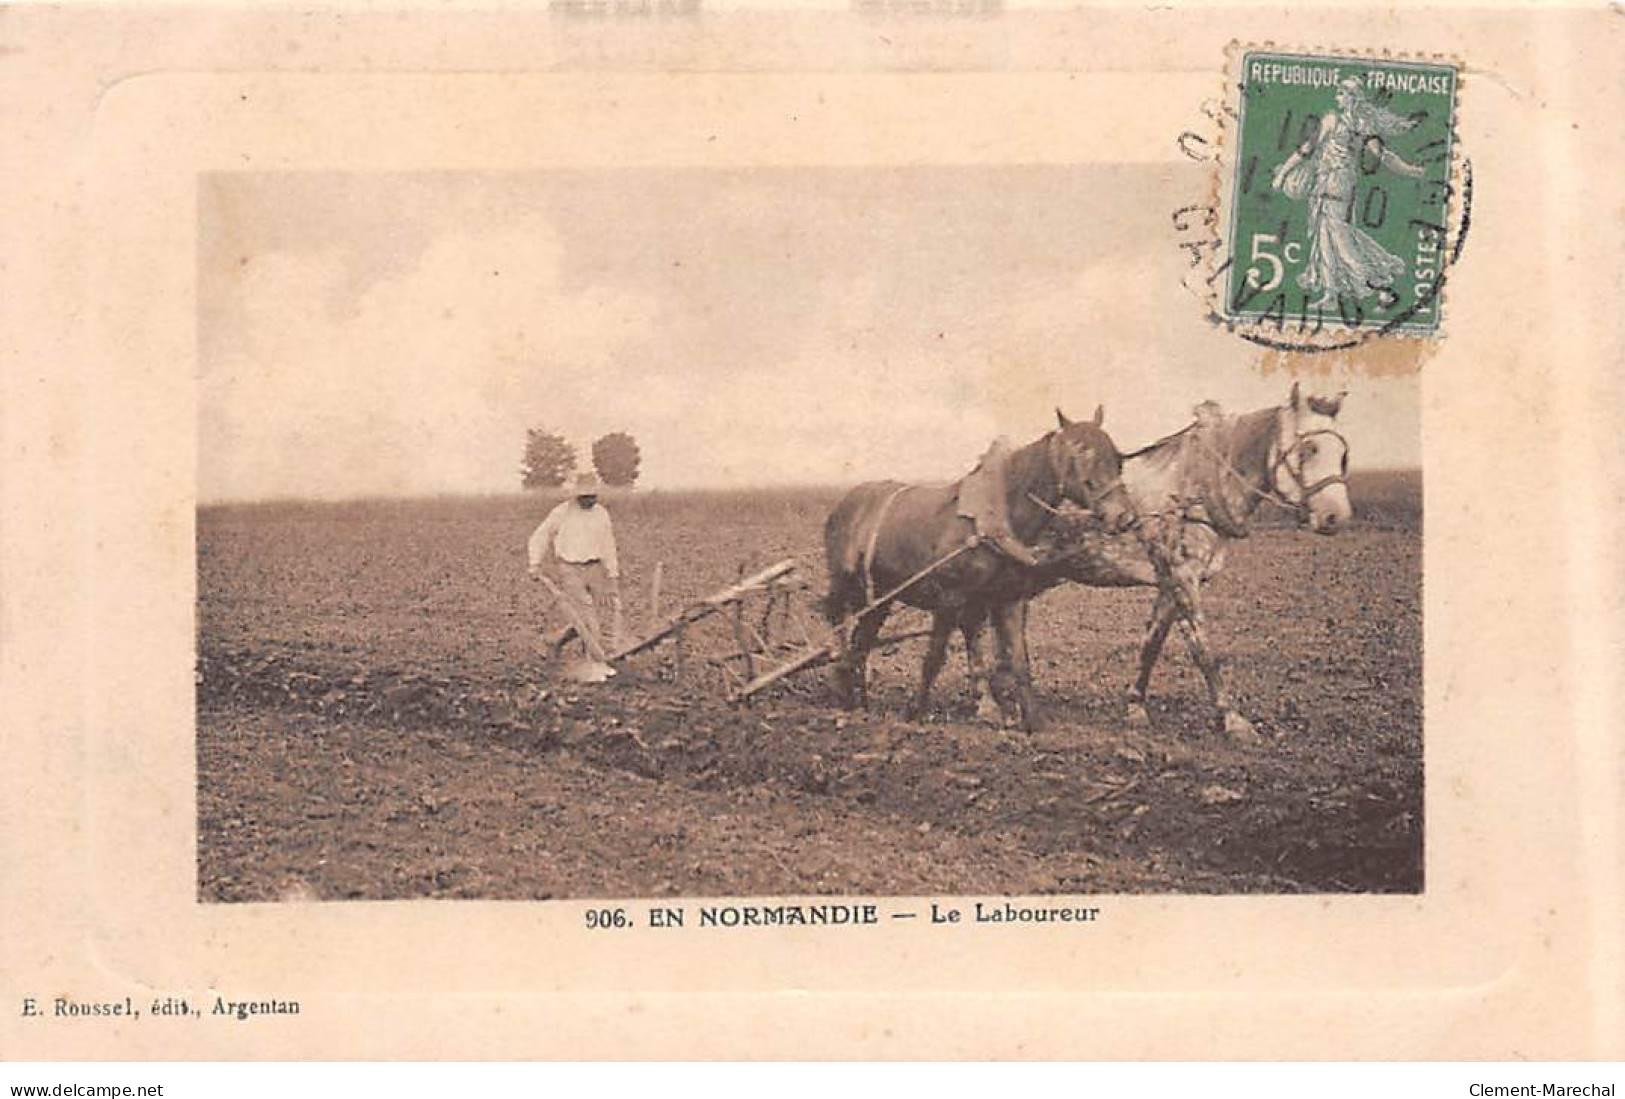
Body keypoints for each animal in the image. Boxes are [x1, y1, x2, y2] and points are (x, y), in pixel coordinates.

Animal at [819, 406, 1137, 728]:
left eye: (1118, 457)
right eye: (1081, 452)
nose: (1124, 516)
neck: (993, 520)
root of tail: (846, 503)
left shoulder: (1009, 600)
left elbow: (1020, 662)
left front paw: (1034, 721)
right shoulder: (949, 599)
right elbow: (934, 659)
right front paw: (915, 712)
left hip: (881, 596)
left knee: (861, 642)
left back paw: (859, 702)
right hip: (848, 585)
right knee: (842, 630)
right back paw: (846, 694)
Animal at [949, 382, 1358, 741]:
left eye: (1342, 454)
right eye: (1308, 448)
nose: (1335, 517)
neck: (1193, 489)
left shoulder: (1169, 583)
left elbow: (1152, 643)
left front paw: (1135, 707)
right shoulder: (1183, 579)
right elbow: (1204, 651)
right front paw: (1233, 720)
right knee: (972, 627)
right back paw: (986, 703)